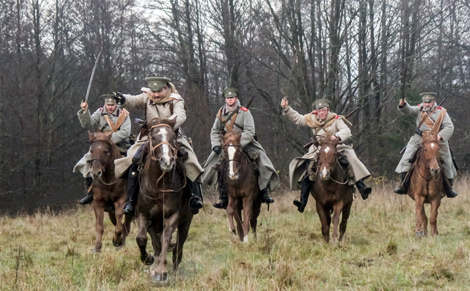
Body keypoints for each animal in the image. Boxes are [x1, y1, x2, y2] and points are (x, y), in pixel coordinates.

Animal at [134, 117, 193, 286]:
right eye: (153, 137)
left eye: (173, 137)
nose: (167, 161)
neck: (159, 186)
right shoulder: (143, 214)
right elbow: (141, 238)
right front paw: (148, 260)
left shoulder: (172, 216)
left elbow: (166, 238)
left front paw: (161, 272)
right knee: (155, 243)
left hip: (186, 222)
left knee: (178, 247)